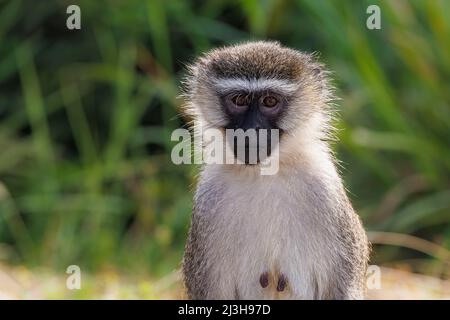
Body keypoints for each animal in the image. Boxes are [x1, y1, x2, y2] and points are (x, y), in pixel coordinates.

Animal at [179, 41, 370, 298]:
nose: (251, 130)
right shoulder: (208, 200)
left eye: (270, 101)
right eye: (239, 100)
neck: (264, 173)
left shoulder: (325, 189)